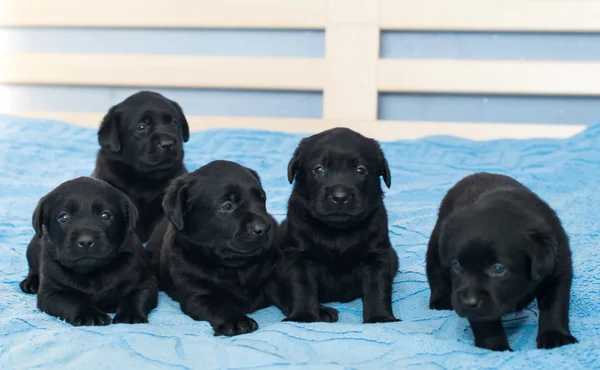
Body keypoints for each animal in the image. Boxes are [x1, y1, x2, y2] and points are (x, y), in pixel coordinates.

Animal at [19, 178, 157, 326]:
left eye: (106, 215)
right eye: (63, 217)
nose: (86, 241)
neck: (93, 272)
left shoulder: (144, 282)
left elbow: (135, 297)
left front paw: (130, 315)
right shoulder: (51, 292)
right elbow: (73, 301)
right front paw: (90, 315)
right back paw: (30, 283)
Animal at [145, 160, 278, 336]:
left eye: (262, 200)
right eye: (227, 206)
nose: (264, 227)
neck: (233, 268)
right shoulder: (197, 293)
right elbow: (219, 307)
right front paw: (238, 321)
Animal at [278, 128, 400, 324]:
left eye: (360, 170)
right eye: (319, 169)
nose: (340, 196)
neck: (337, 232)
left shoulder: (377, 256)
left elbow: (378, 288)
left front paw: (380, 318)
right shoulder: (299, 256)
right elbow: (302, 287)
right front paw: (303, 317)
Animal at [426, 172, 576, 352]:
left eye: (498, 269)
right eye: (456, 265)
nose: (468, 303)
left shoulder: (558, 270)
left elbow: (554, 306)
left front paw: (555, 336)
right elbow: (486, 322)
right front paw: (496, 348)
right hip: (436, 245)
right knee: (435, 271)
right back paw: (441, 300)